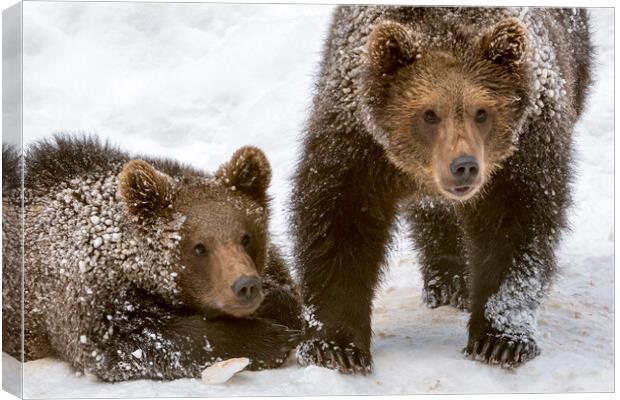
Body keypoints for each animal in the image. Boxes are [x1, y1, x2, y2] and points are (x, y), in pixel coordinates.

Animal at [294, 6, 592, 374]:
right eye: (429, 114)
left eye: (482, 112)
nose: (463, 166)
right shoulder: (357, 147)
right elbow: (339, 230)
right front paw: (336, 347)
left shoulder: (522, 153)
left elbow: (515, 231)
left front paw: (500, 340)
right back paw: (449, 281)